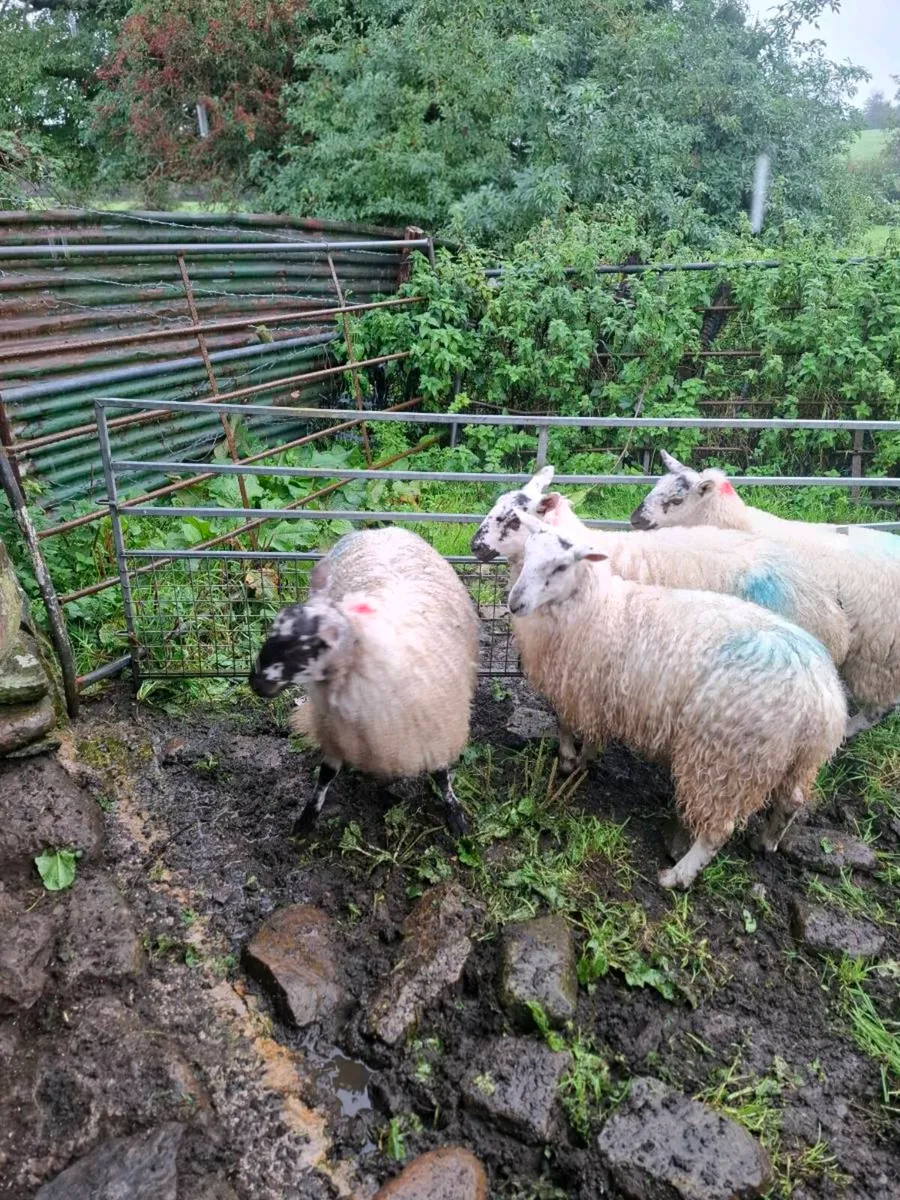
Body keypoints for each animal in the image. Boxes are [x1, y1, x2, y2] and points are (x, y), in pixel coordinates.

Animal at [249, 526, 480, 836]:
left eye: (314, 645)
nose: (256, 682)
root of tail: (380, 529)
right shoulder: (334, 728)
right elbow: (326, 773)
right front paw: (308, 817)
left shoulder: (435, 725)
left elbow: (441, 773)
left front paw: (454, 811)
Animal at [505, 513, 848, 888]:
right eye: (527, 553)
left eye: (562, 565)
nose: (514, 603)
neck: (598, 606)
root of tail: (819, 696)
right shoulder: (597, 694)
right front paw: (583, 759)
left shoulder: (581, 686)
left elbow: (568, 723)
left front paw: (571, 761)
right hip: (797, 760)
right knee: (792, 800)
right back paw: (765, 842)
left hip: (728, 755)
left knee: (718, 828)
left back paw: (677, 876)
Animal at [631, 450, 900, 735]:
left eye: (676, 500)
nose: (635, 519)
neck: (736, 524)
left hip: (876, 655)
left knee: (879, 706)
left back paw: (850, 728)